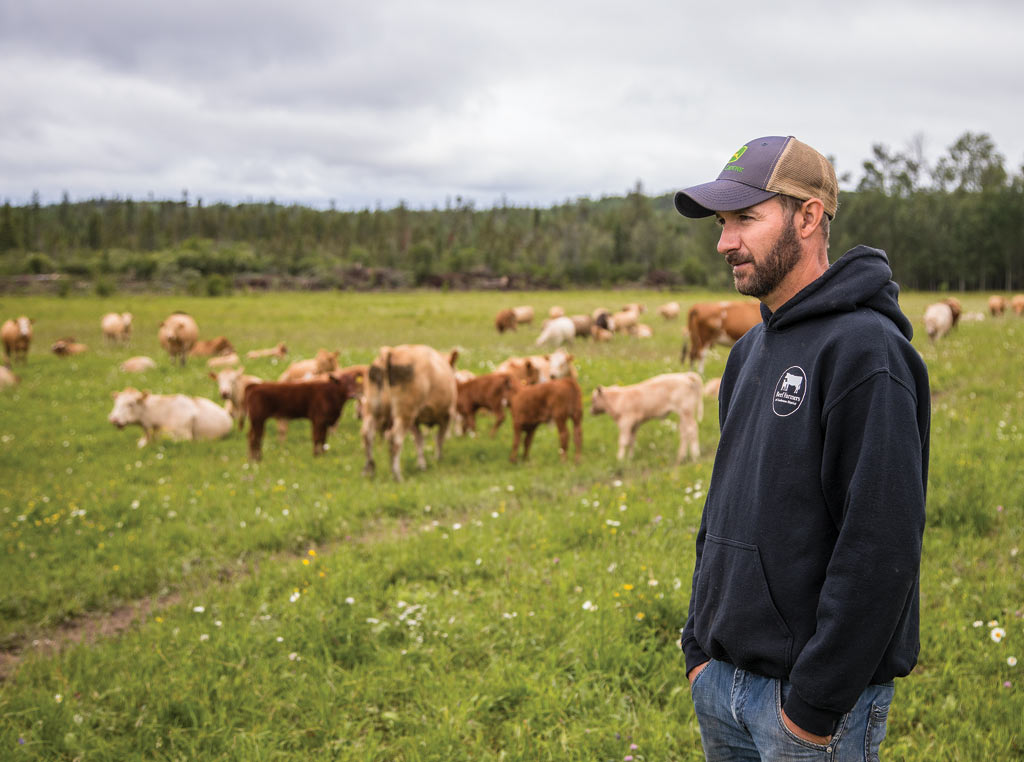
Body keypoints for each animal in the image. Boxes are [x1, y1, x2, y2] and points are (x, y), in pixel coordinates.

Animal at [360, 346, 456, 481]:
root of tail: (391, 351)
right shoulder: (446, 415)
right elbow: (439, 439)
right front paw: (438, 459)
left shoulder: (415, 421)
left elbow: (419, 440)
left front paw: (422, 464)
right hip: (405, 412)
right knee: (394, 438)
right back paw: (397, 475)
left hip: (372, 410)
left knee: (367, 435)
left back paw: (369, 471)